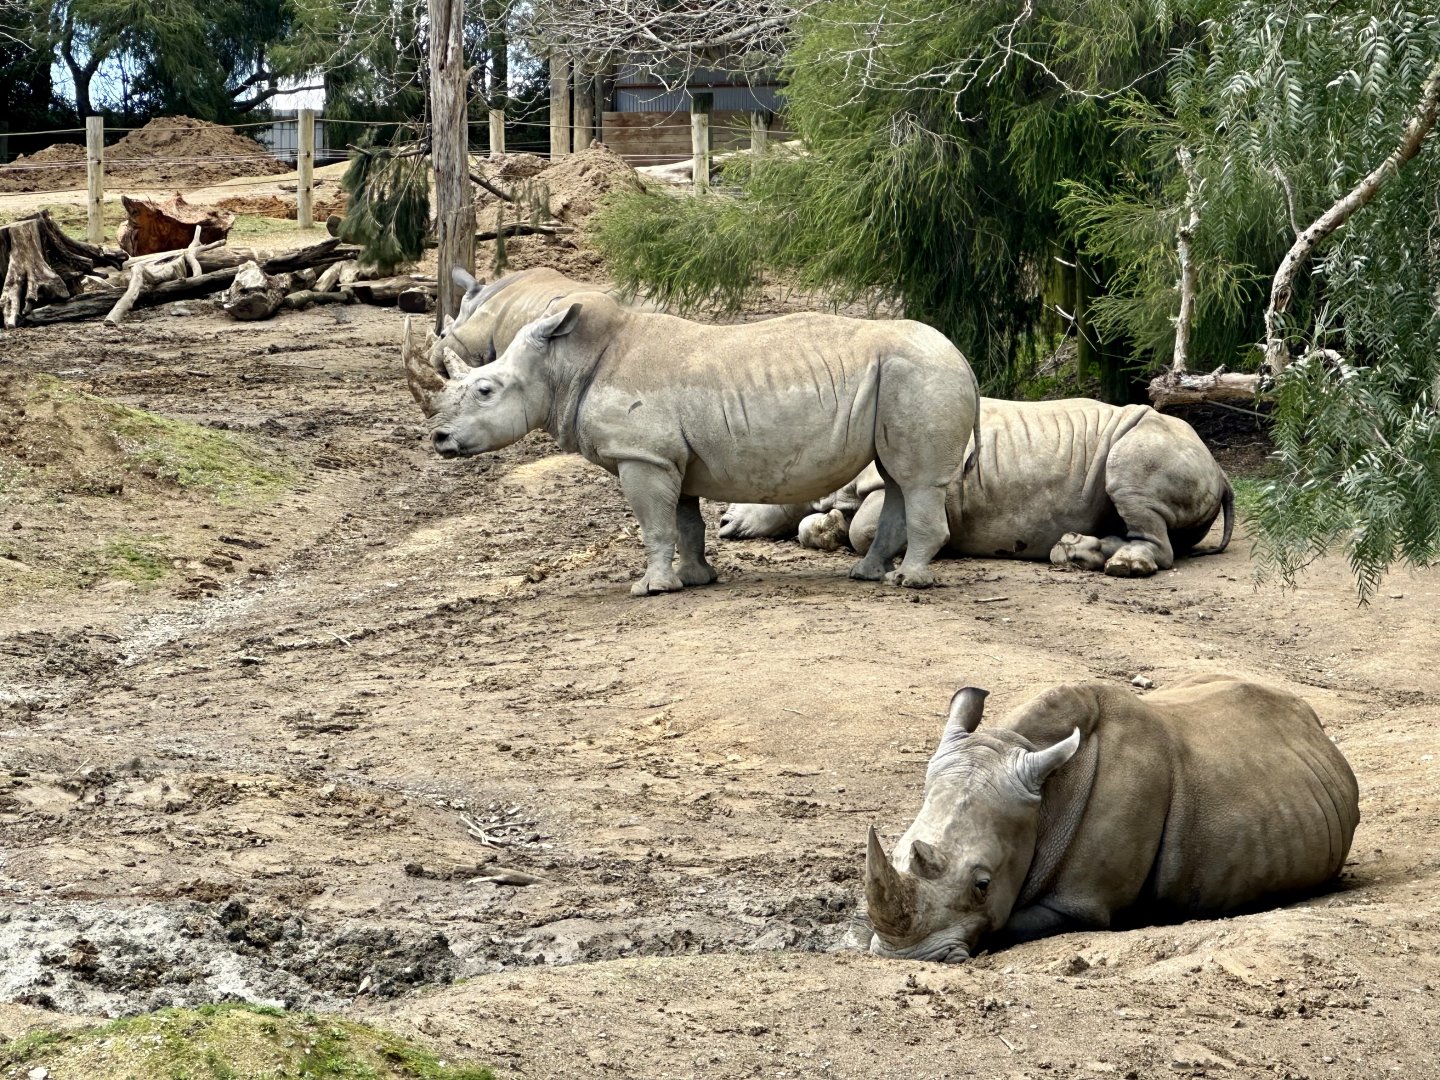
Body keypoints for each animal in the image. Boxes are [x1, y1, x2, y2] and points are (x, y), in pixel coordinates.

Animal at [410, 282, 983, 593]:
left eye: (485, 390)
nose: (439, 439)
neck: (563, 364)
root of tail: (964, 361)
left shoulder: (642, 456)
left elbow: (654, 525)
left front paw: (650, 589)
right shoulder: (669, 458)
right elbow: (685, 523)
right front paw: (695, 579)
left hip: (920, 375)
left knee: (916, 479)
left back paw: (906, 582)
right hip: (906, 377)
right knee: (896, 477)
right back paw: (866, 575)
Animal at [718, 397, 1233, 577]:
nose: (722, 520)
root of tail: (1222, 470)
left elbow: (865, 528)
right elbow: (815, 523)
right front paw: (826, 527)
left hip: (1158, 444)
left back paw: (1124, 566)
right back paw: (1072, 552)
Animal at [865, 674, 1360, 963]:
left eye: (983, 885)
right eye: (896, 851)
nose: (904, 957)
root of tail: (1314, 723)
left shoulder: (1079, 904)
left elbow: (1006, 924)